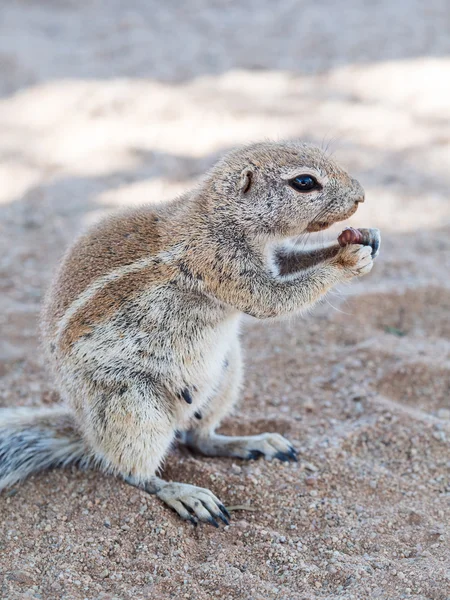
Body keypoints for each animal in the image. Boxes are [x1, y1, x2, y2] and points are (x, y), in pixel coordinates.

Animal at [0, 139, 380, 524]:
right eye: (304, 182)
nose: (361, 196)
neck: (220, 219)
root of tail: (87, 432)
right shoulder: (220, 264)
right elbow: (273, 300)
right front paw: (347, 260)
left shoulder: (269, 257)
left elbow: (289, 262)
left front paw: (365, 237)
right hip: (132, 405)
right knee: (130, 472)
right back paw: (184, 493)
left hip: (225, 375)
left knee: (198, 439)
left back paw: (253, 443)